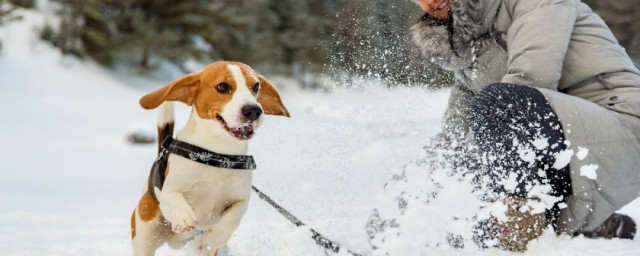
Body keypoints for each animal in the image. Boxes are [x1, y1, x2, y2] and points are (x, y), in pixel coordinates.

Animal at [131, 61, 288, 255]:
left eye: (256, 86)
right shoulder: (166, 189)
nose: (254, 110)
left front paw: (213, 241)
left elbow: (232, 218)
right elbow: (173, 197)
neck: (217, 155)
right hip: (144, 233)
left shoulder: (241, 199)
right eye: (222, 87)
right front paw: (184, 217)